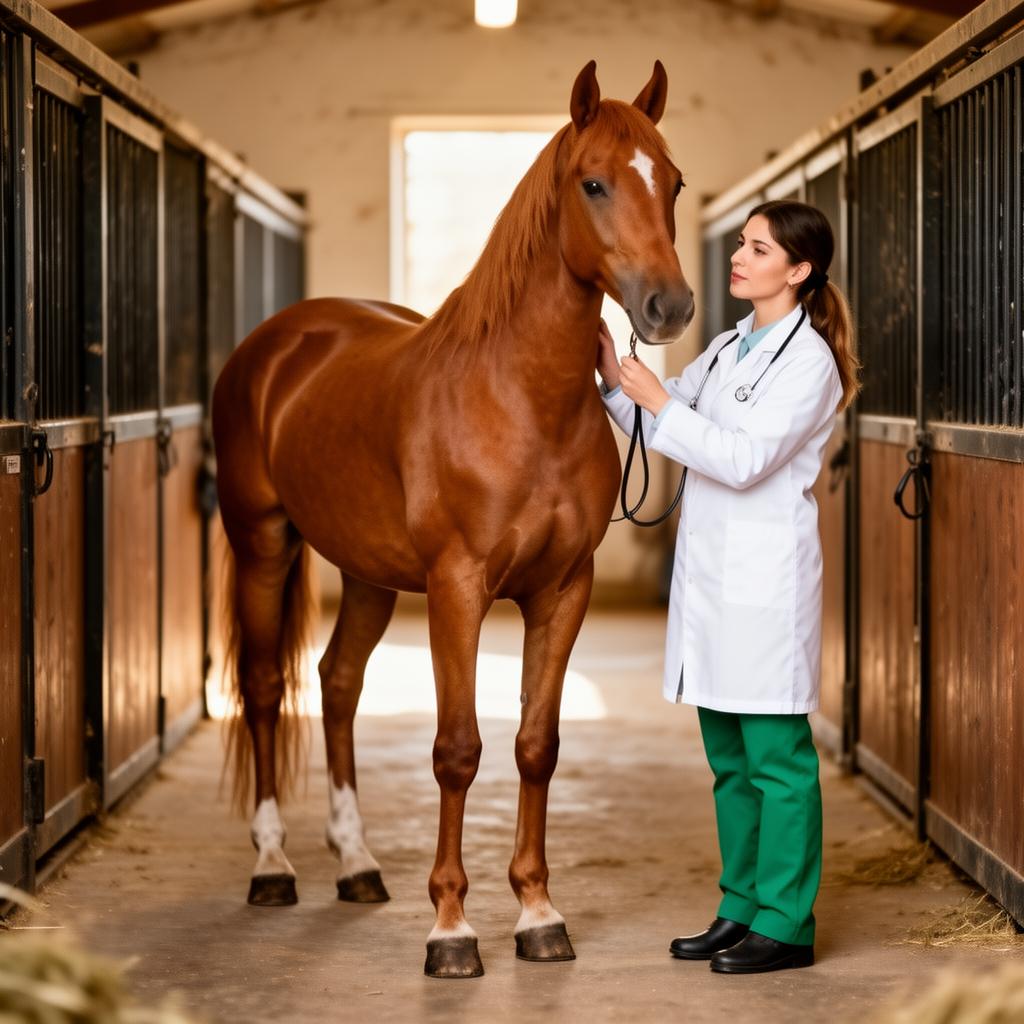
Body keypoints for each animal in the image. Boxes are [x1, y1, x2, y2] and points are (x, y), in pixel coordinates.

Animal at [211, 59, 693, 979]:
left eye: (674, 182)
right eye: (594, 183)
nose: (669, 307)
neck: (522, 400)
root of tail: (277, 342)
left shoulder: (562, 590)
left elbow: (536, 746)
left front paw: (539, 914)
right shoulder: (458, 588)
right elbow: (458, 749)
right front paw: (451, 929)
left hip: (365, 571)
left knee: (338, 684)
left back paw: (358, 863)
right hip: (262, 542)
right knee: (263, 689)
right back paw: (271, 865)